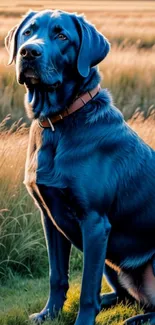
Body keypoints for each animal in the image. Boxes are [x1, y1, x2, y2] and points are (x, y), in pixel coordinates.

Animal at [5, 9, 155, 324]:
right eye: (28, 32)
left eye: (62, 36)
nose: (28, 52)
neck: (57, 123)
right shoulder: (49, 217)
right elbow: (57, 276)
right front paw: (48, 314)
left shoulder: (95, 223)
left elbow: (87, 288)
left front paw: (82, 320)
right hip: (112, 263)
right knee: (125, 297)